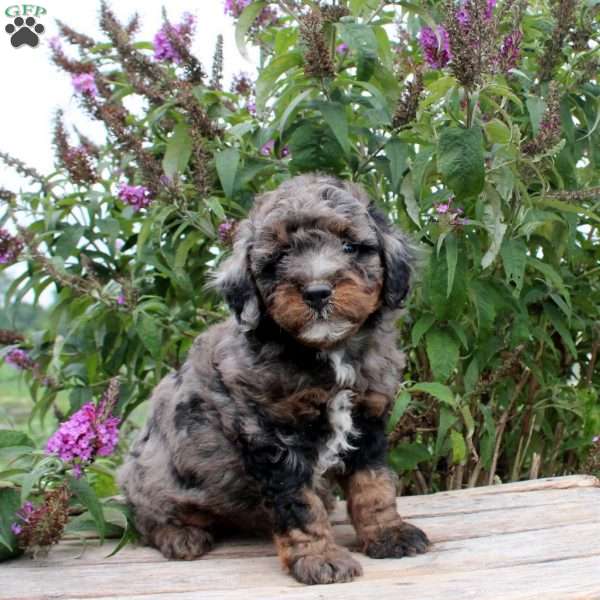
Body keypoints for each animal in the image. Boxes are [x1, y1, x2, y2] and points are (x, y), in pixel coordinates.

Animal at [118, 172, 426, 580]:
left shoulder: (367, 418)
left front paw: (388, 534)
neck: (330, 352)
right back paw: (180, 535)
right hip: (151, 475)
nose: (317, 292)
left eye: (350, 245)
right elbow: (299, 504)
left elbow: (373, 484)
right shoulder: (273, 437)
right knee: (144, 514)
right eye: (280, 256)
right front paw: (319, 557)